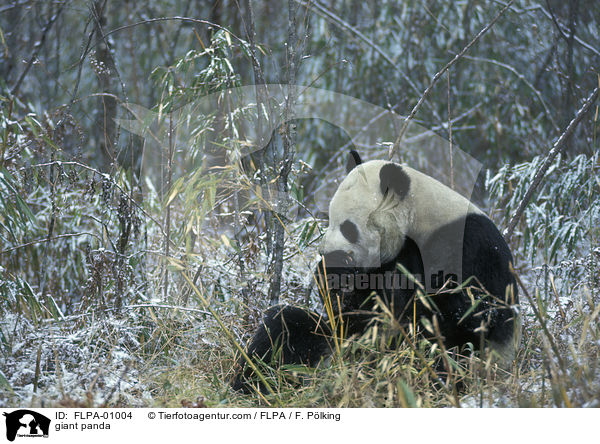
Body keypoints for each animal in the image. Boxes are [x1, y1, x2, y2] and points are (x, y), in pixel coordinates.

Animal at [231, 152, 520, 392]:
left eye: (348, 228)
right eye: (328, 219)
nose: (327, 253)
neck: (419, 216)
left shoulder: (466, 247)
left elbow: (465, 314)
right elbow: (351, 309)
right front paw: (332, 278)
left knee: (437, 359)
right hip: (325, 340)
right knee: (285, 327)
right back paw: (253, 382)